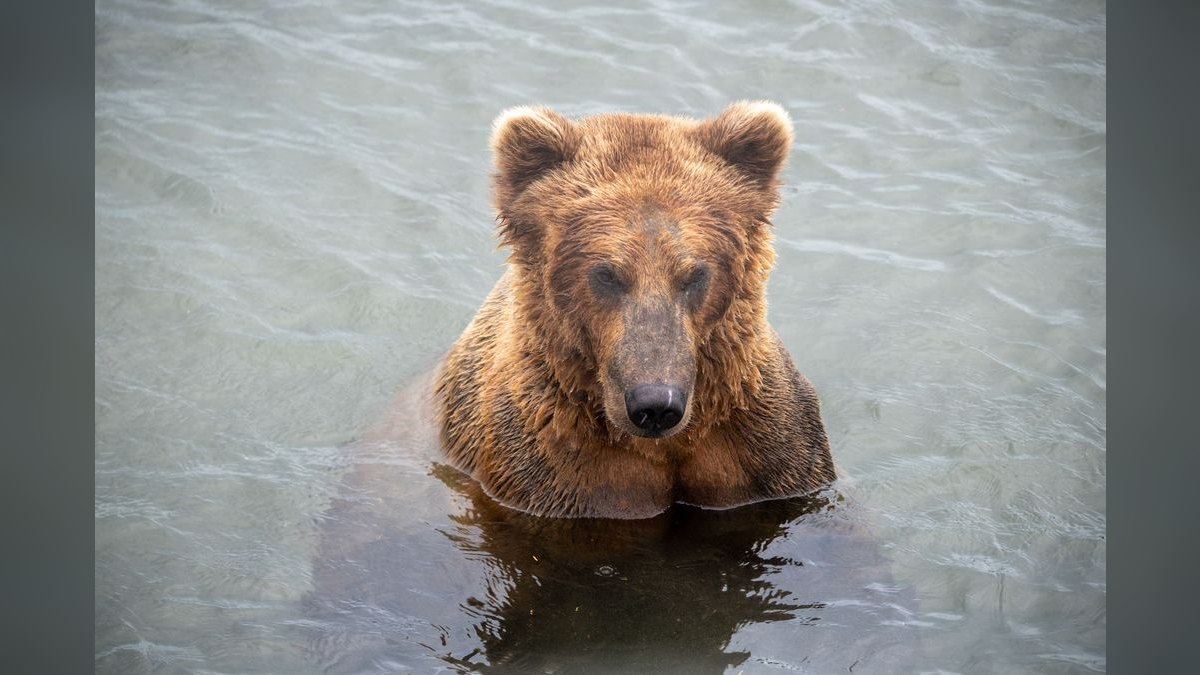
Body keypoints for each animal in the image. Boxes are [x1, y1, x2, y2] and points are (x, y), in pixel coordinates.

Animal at [435, 101, 835, 519]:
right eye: (607, 274)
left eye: (695, 273)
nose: (656, 405)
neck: (669, 445)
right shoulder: (552, 469)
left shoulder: (766, 449)